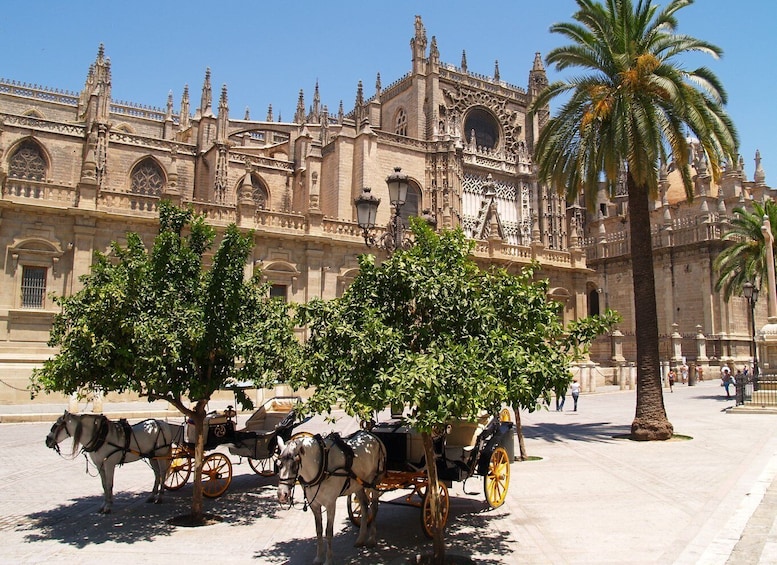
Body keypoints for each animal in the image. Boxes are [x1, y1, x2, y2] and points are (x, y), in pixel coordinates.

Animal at [45, 410, 180, 512]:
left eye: (56, 425)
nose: (47, 441)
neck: (101, 436)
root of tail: (161, 423)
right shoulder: (99, 464)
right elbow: (104, 485)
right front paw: (104, 505)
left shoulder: (109, 464)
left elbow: (110, 484)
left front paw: (108, 507)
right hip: (152, 456)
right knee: (157, 474)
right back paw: (152, 496)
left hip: (161, 455)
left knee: (162, 473)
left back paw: (160, 497)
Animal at [278, 430, 388, 560]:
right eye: (279, 464)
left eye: (294, 464)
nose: (282, 494)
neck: (322, 465)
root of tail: (372, 435)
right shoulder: (315, 505)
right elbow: (319, 530)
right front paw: (319, 557)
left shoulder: (330, 504)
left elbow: (328, 532)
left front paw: (328, 559)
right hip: (358, 484)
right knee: (365, 506)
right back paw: (361, 538)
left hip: (374, 482)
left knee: (374, 506)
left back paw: (371, 538)